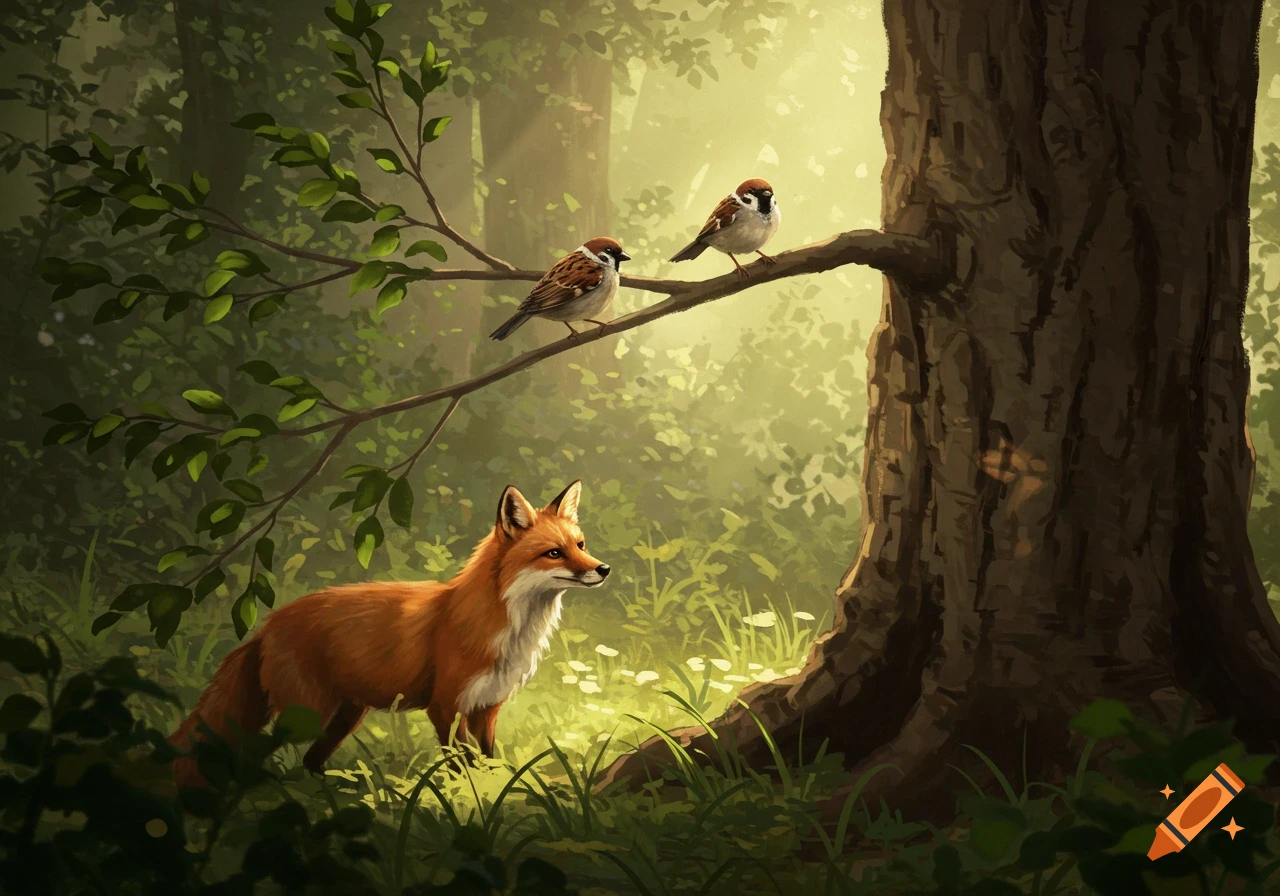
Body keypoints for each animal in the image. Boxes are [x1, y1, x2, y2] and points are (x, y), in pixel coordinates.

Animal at [169, 480, 609, 787]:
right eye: (554, 553)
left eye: (581, 544)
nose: (603, 569)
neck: (507, 628)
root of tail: (268, 624)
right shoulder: (445, 706)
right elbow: (460, 764)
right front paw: (465, 800)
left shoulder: (487, 707)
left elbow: (487, 760)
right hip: (308, 714)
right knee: (252, 752)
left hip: (344, 717)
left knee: (309, 762)